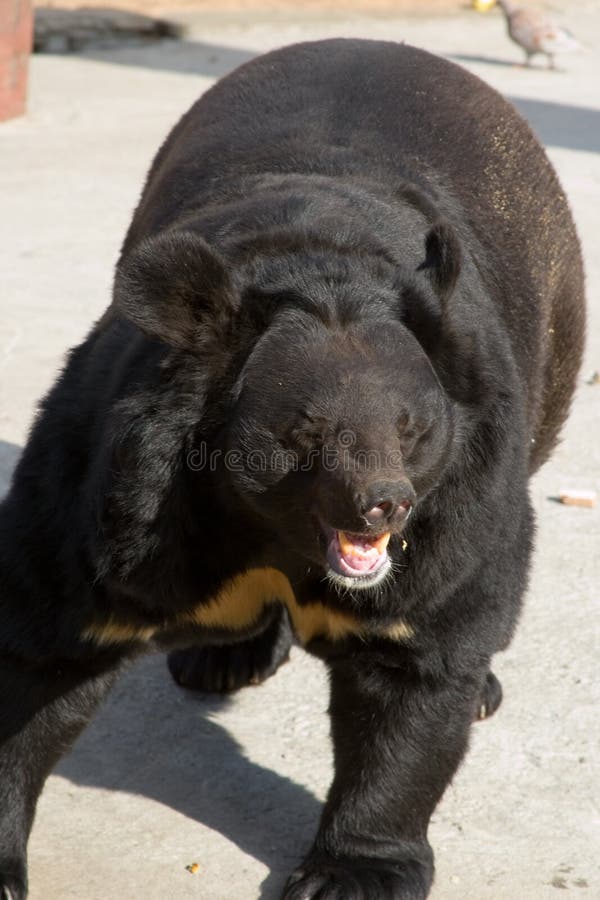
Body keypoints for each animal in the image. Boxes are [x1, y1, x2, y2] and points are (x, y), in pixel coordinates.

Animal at [0, 38, 584, 900]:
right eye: (304, 433)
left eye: (411, 429)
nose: (384, 506)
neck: (266, 532)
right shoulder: (114, 507)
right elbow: (45, 651)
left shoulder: (460, 500)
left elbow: (415, 664)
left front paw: (348, 873)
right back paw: (222, 657)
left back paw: (480, 687)